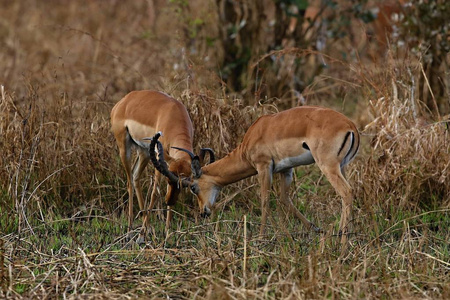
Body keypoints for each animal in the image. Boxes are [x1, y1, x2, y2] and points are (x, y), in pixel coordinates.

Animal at [110, 90, 214, 243]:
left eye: (184, 186)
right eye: (168, 180)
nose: (169, 200)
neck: (173, 115)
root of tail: (122, 102)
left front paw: (167, 232)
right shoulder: (160, 159)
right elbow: (155, 193)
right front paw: (141, 236)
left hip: (144, 152)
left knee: (135, 177)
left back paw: (148, 227)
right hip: (125, 147)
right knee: (129, 183)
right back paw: (130, 232)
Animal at [149, 106, 360, 246]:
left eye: (193, 187)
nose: (204, 212)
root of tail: (350, 125)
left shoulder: (263, 166)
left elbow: (265, 200)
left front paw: (260, 236)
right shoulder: (285, 170)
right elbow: (285, 199)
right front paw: (313, 230)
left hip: (328, 166)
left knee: (347, 192)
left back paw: (343, 243)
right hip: (342, 166)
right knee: (346, 195)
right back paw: (340, 235)